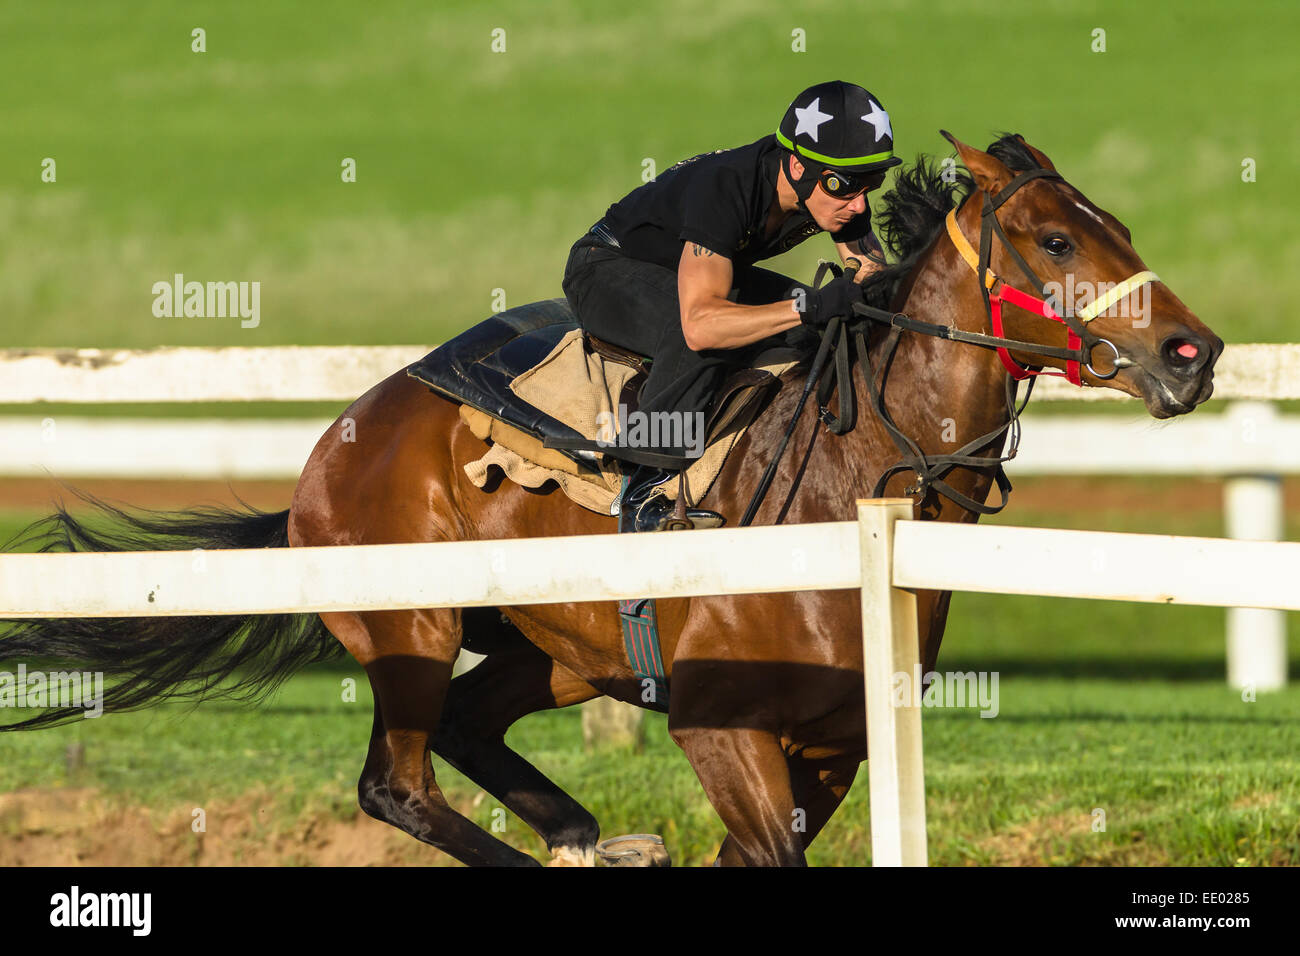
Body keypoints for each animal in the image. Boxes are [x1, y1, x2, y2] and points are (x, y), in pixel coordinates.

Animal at [0, 132, 1222, 866]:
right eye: (1055, 237)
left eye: (1119, 227)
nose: (1194, 351)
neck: (850, 490)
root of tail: (334, 448)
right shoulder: (721, 725)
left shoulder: (836, 742)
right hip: (410, 629)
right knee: (396, 783)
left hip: (557, 646)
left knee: (465, 728)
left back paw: (590, 833)